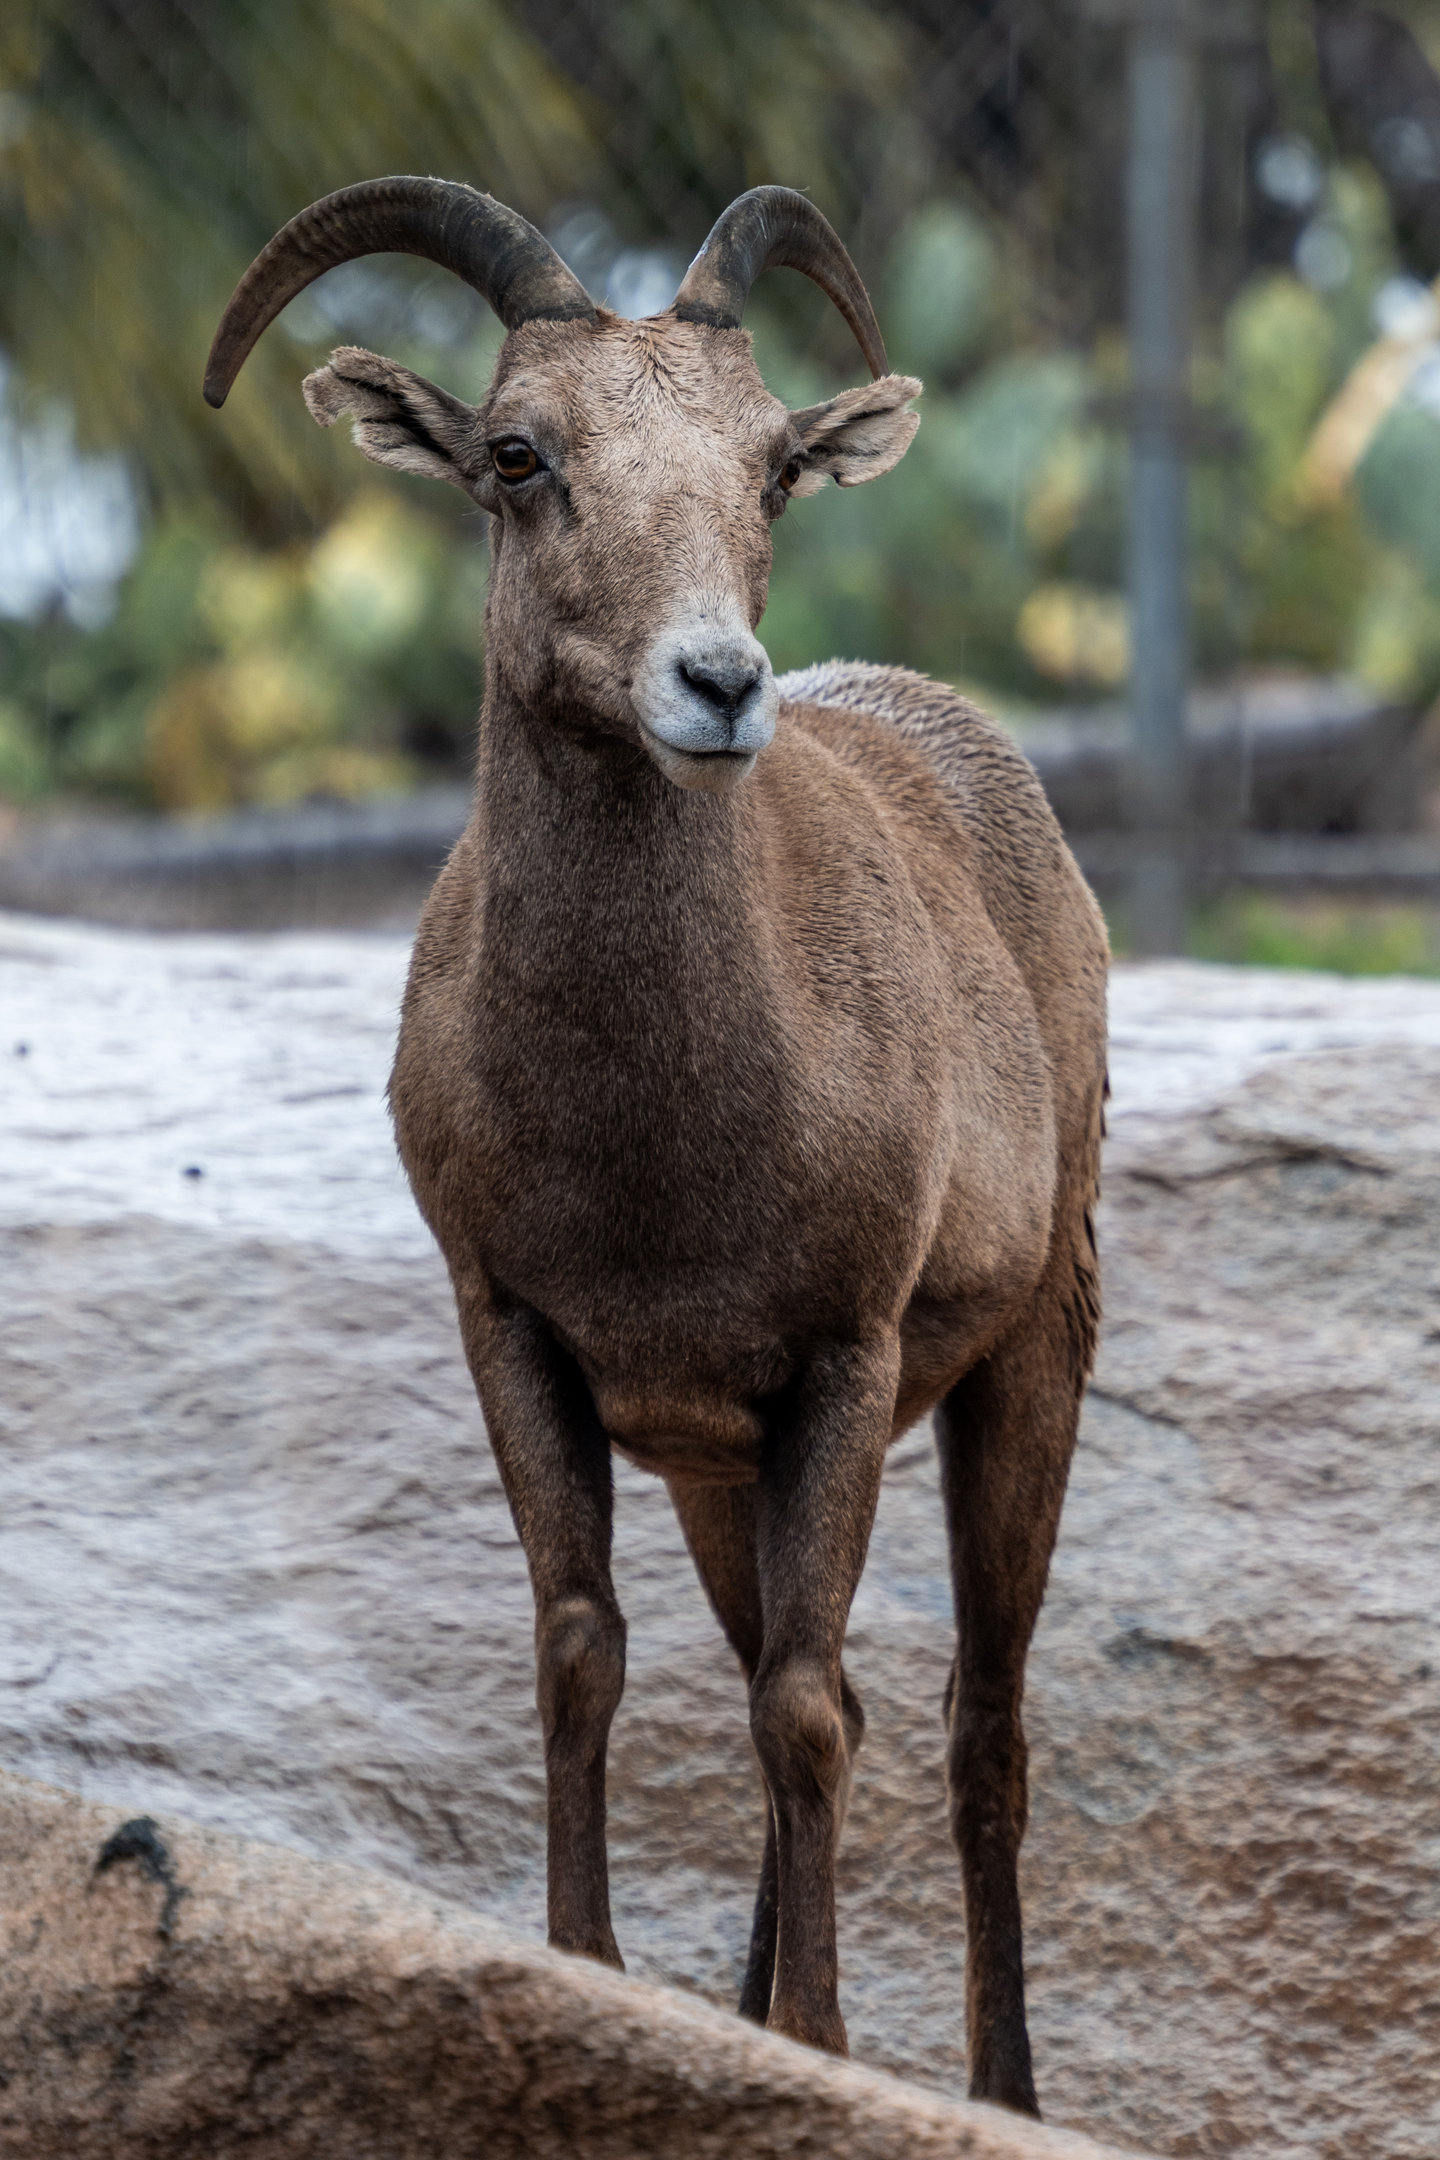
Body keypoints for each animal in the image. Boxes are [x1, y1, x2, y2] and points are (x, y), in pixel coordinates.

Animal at [205, 177, 1108, 2116]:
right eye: (518, 454)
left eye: (772, 468)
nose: (716, 685)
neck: (654, 1147)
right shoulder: (527, 1338)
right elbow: (585, 1653)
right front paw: (596, 1973)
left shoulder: (843, 1360)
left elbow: (807, 1709)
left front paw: (820, 2046)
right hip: (717, 1473)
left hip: (1028, 1363)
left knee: (975, 1724)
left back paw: (998, 2094)